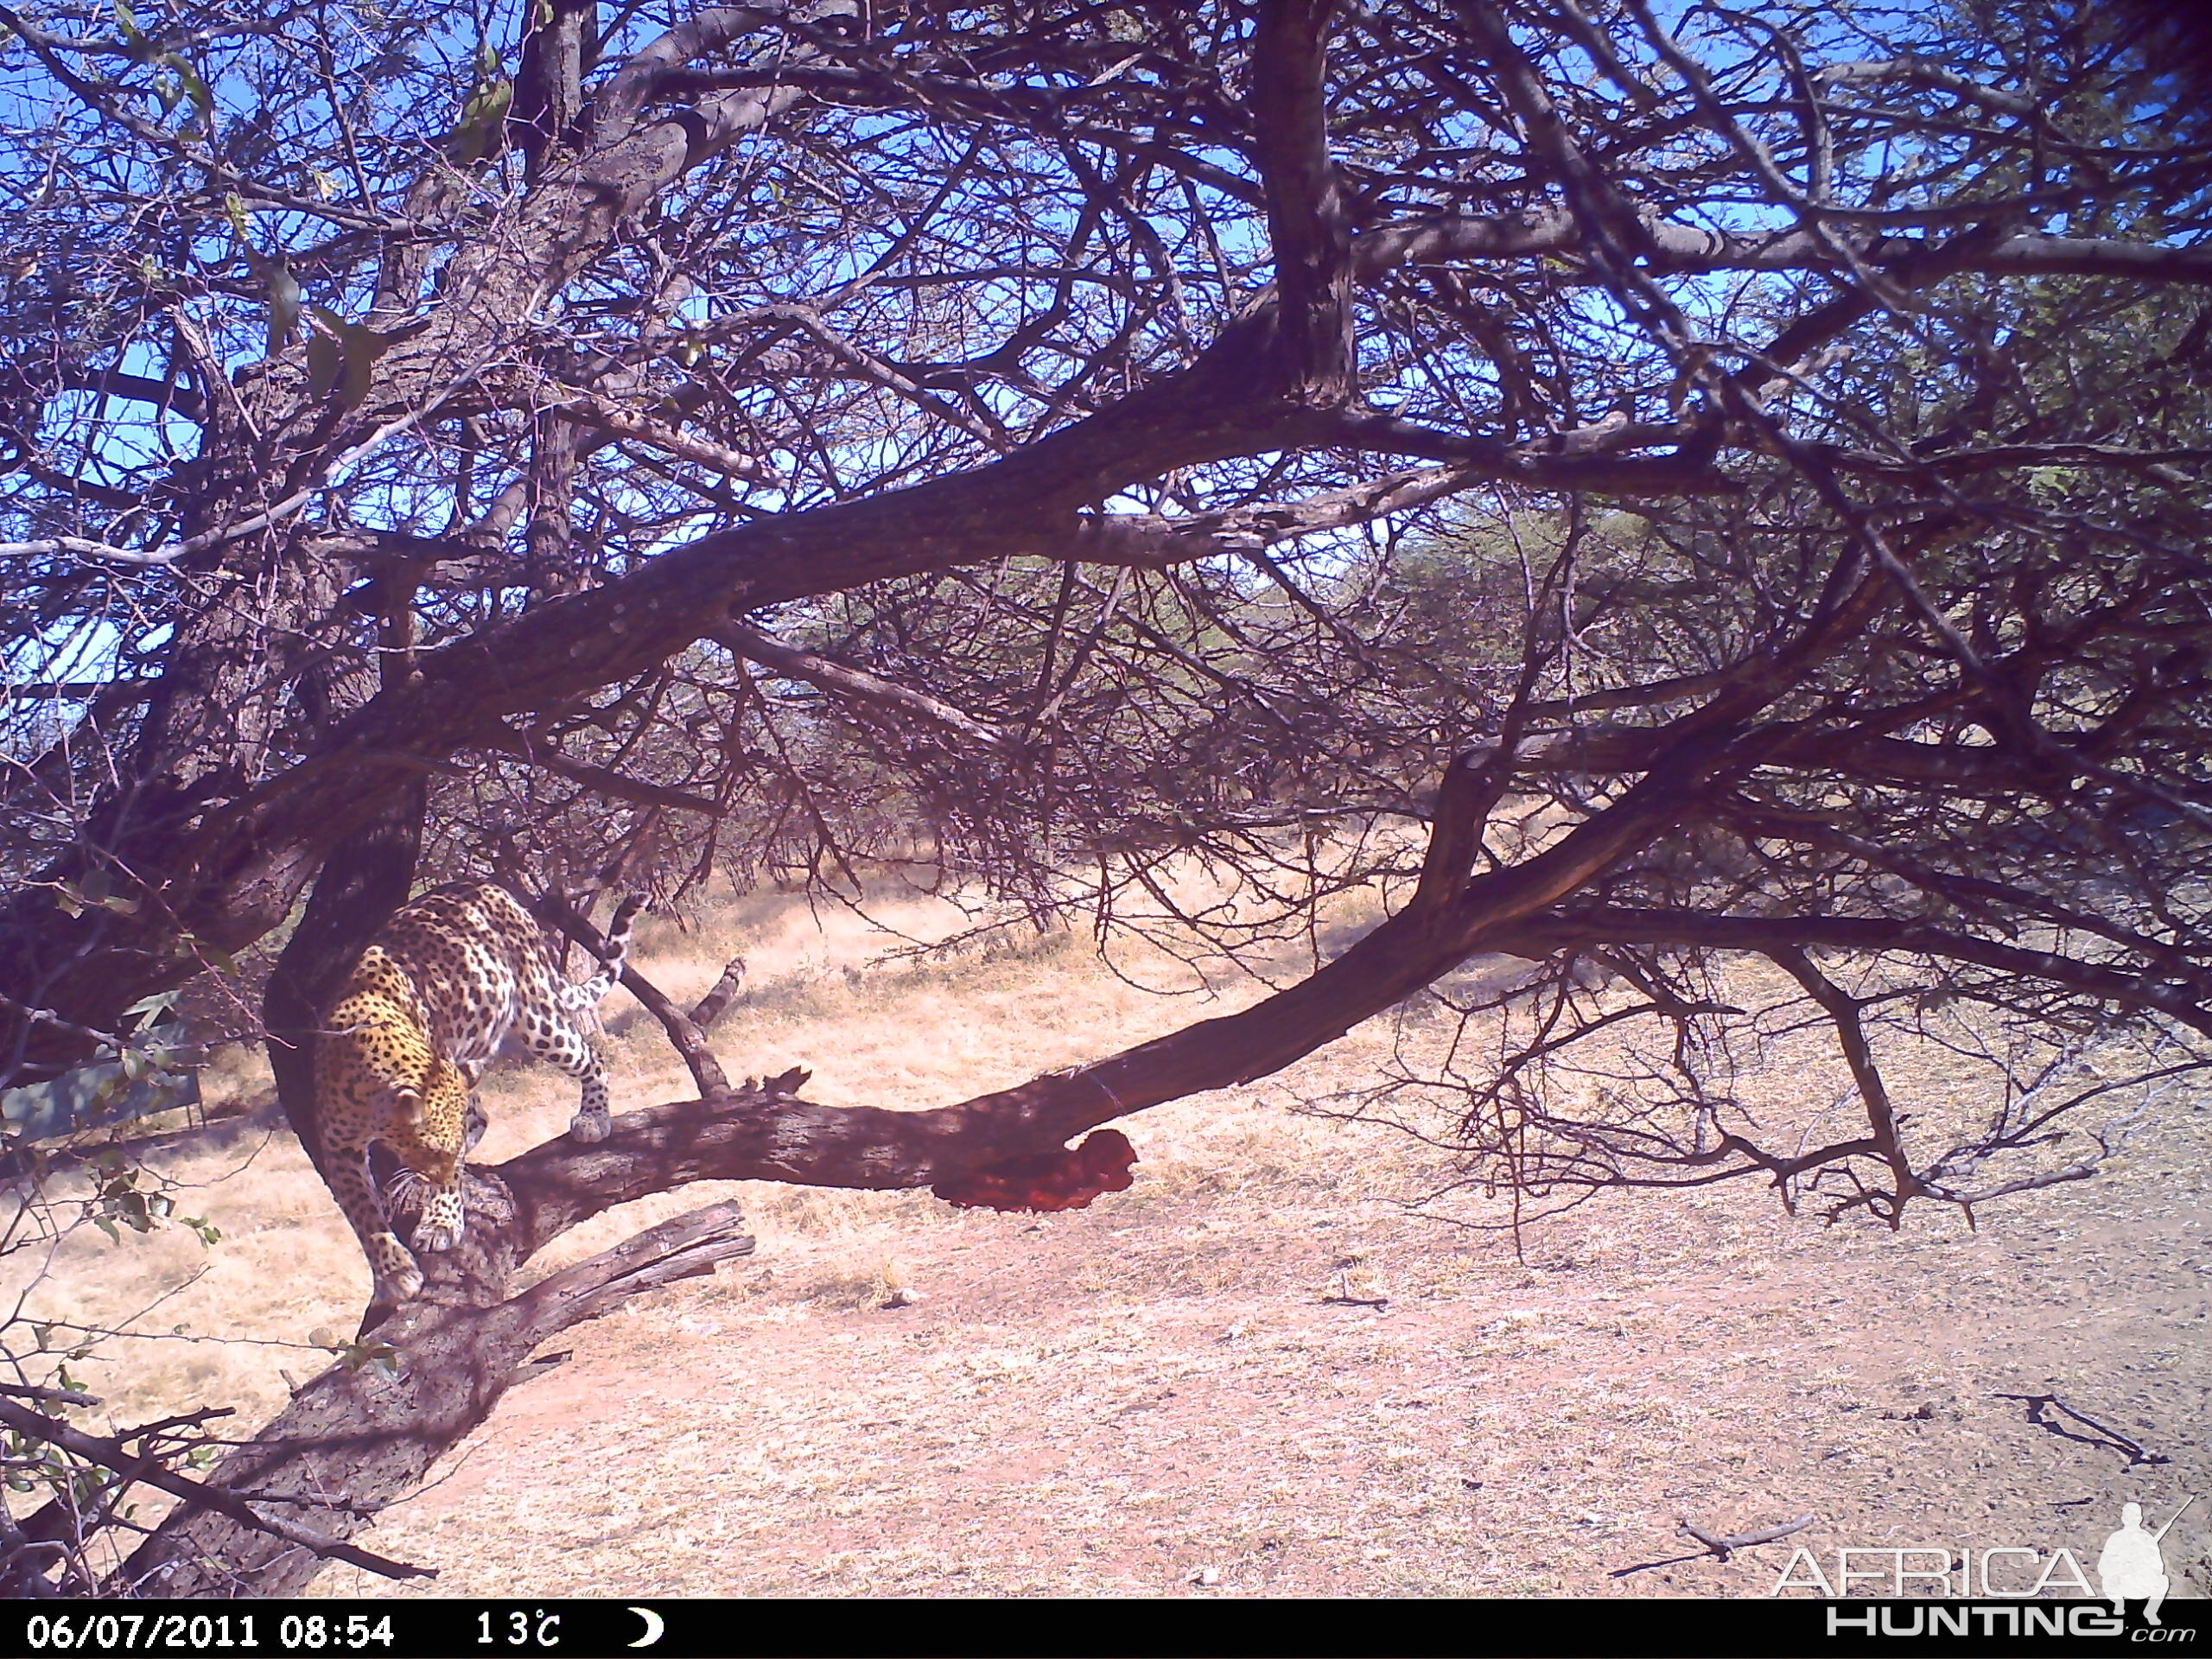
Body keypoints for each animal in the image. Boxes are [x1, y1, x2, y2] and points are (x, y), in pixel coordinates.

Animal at [314, 889, 641, 1309]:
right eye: (431, 1150)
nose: (441, 1175)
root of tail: (490, 888)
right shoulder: (338, 1146)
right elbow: (362, 1213)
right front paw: (395, 1273)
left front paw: (441, 1221)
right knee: (482, 1113)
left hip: (537, 1016)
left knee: (591, 1057)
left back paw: (594, 1118)